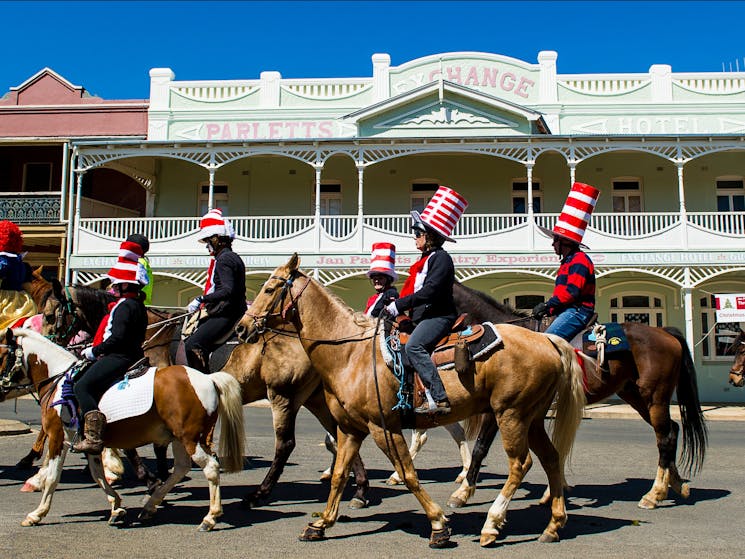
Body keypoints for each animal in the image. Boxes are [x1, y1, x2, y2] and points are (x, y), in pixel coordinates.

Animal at [0, 330, 244, 532]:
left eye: (2, 354)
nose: (1, 387)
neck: (59, 381)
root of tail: (208, 379)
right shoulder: (88, 443)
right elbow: (97, 474)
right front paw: (116, 507)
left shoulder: (57, 437)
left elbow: (52, 477)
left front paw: (36, 514)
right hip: (180, 438)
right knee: (181, 468)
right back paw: (150, 506)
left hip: (190, 438)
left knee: (210, 467)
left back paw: (210, 517)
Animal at [238, 256, 588, 548]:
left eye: (269, 288)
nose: (242, 328)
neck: (350, 353)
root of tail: (547, 339)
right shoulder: (350, 429)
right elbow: (339, 475)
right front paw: (321, 523)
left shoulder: (383, 427)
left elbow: (408, 474)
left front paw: (438, 525)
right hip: (531, 417)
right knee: (551, 458)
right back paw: (553, 524)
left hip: (511, 414)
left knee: (521, 464)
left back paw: (491, 523)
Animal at [444, 284, 708, 512]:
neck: (500, 341)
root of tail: (664, 332)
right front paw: (553, 490)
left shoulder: (499, 408)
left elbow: (480, 447)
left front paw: (463, 492)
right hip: (636, 396)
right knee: (671, 430)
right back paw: (676, 484)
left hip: (655, 397)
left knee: (664, 437)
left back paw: (654, 494)